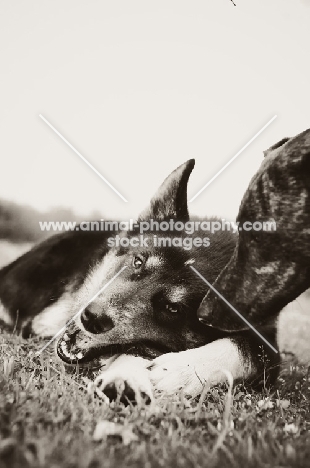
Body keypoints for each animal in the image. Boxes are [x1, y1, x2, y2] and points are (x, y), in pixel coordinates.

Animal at [0, 159, 280, 400]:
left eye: (172, 308)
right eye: (138, 262)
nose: (91, 317)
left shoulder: (268, 347)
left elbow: (243, 350)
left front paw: (180, 370)